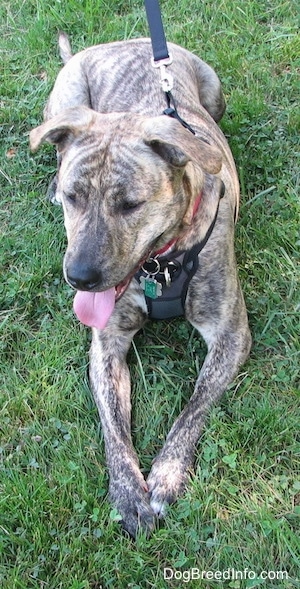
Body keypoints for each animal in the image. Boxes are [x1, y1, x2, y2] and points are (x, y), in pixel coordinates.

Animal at [29, 33, 251, 536]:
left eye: (130, 204)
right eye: (74, 197)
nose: (79, 276)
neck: (158, 264)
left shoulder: (230, 336)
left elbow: (194, 407)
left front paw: (166, 475)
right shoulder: (107, 343)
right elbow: (113, 424)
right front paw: (129, 491)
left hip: (215, 89)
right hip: (68, 100)